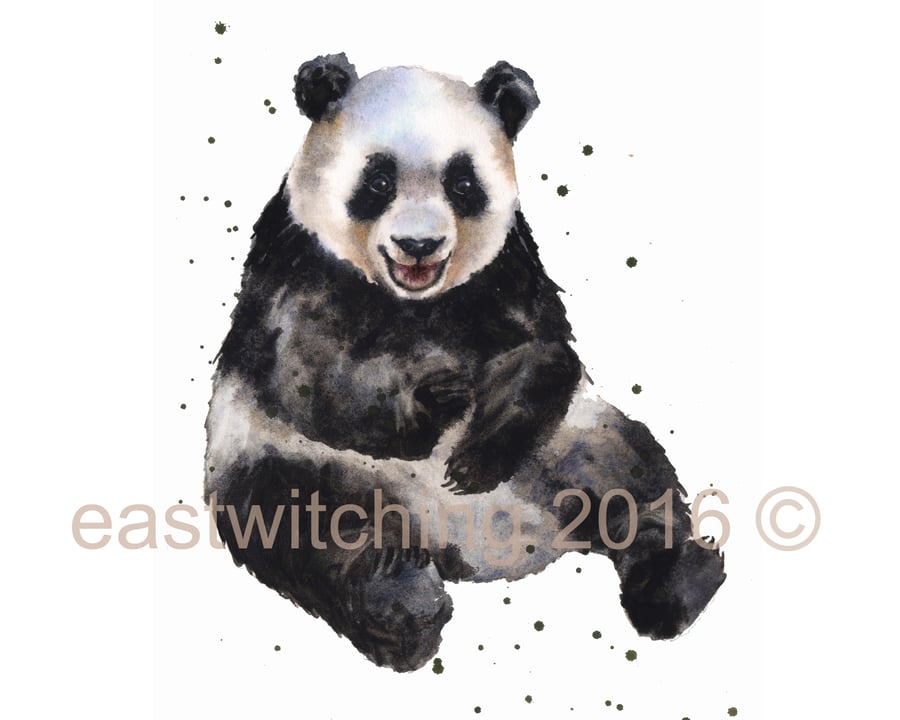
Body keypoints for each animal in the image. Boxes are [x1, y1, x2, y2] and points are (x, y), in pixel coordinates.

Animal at [205, 54, 725, 672]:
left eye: (464, 183)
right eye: (378, 181)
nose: (418, 245)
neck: (413, 302)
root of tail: (479, 546)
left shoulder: (508, 267)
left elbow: (547, 352)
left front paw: (475, 455)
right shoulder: (297, 262)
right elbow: (306, 375)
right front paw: (432, 400)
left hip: (570, 438)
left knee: (630, 478)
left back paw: (674, 587)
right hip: (291, 466)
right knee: (314, 531)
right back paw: (403, 611)